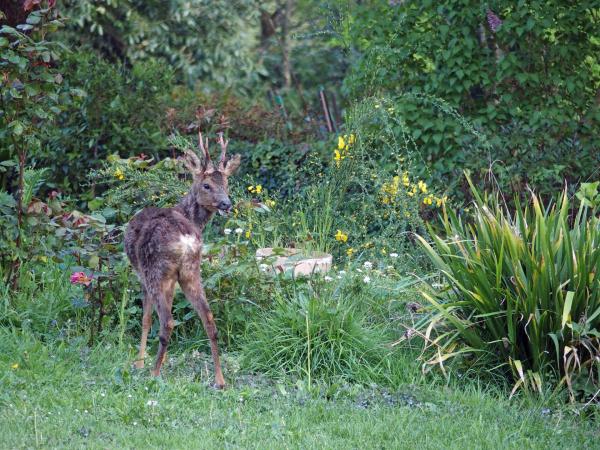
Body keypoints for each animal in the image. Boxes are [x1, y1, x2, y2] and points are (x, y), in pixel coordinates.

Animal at [125, 131, 241, 386]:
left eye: (226, 183)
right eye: (207, 185)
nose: (227, 204)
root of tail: (186, 240)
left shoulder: (141, 275)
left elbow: (145, 318)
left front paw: (139, 363)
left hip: (157, 270)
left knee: (166, 321)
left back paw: (154, 374)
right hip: (191, 272)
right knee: (209, 318)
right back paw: (220, 379)